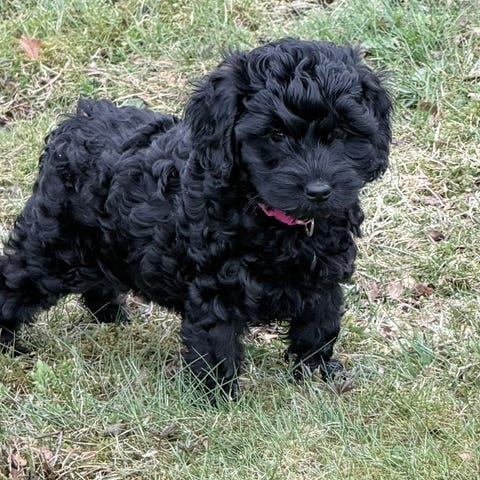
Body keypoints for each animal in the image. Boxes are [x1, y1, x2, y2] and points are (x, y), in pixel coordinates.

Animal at [0, 38, 392, 399]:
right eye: (276, 135)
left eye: (341, 133)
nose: (319, 190)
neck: (269, 217)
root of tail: (72, 125)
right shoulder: (215, 284)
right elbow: (216, 341)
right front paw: (217, 399)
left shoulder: (324, 278)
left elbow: (319, 326)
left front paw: (316, 374)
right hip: (53, 242)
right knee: (15, 280)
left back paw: (112, 318)